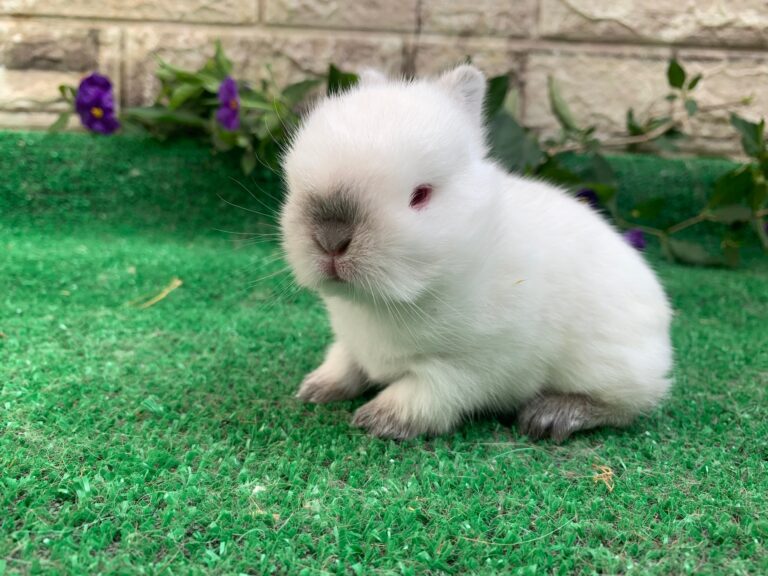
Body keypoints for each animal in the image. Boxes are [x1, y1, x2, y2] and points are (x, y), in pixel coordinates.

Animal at [280, 64, 672, 440]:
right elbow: (343, 360)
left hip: (611, 365)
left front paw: (379, 420)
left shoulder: (470, 366)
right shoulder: (351, 342)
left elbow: (426, 391)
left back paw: (551, 415)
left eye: (421, 195)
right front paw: (316, 388)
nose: (331, 238)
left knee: (628, 404)